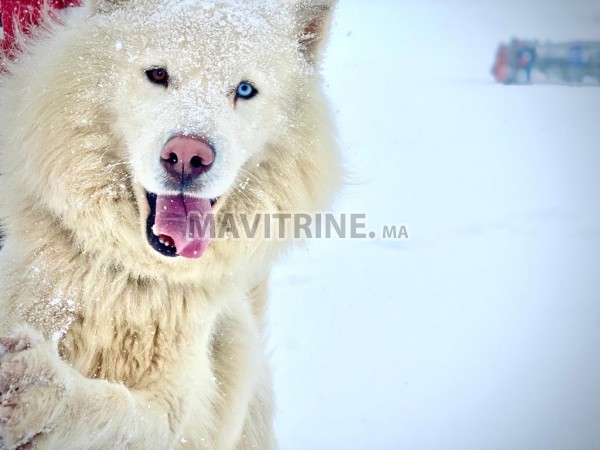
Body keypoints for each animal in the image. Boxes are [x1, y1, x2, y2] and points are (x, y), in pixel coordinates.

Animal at [0, 1, 340, 448]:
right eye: (158, 74)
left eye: (244, 90)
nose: (187, 156)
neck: (123, 278)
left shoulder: (184, 407)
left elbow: (120, 414)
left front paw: (42, 393)